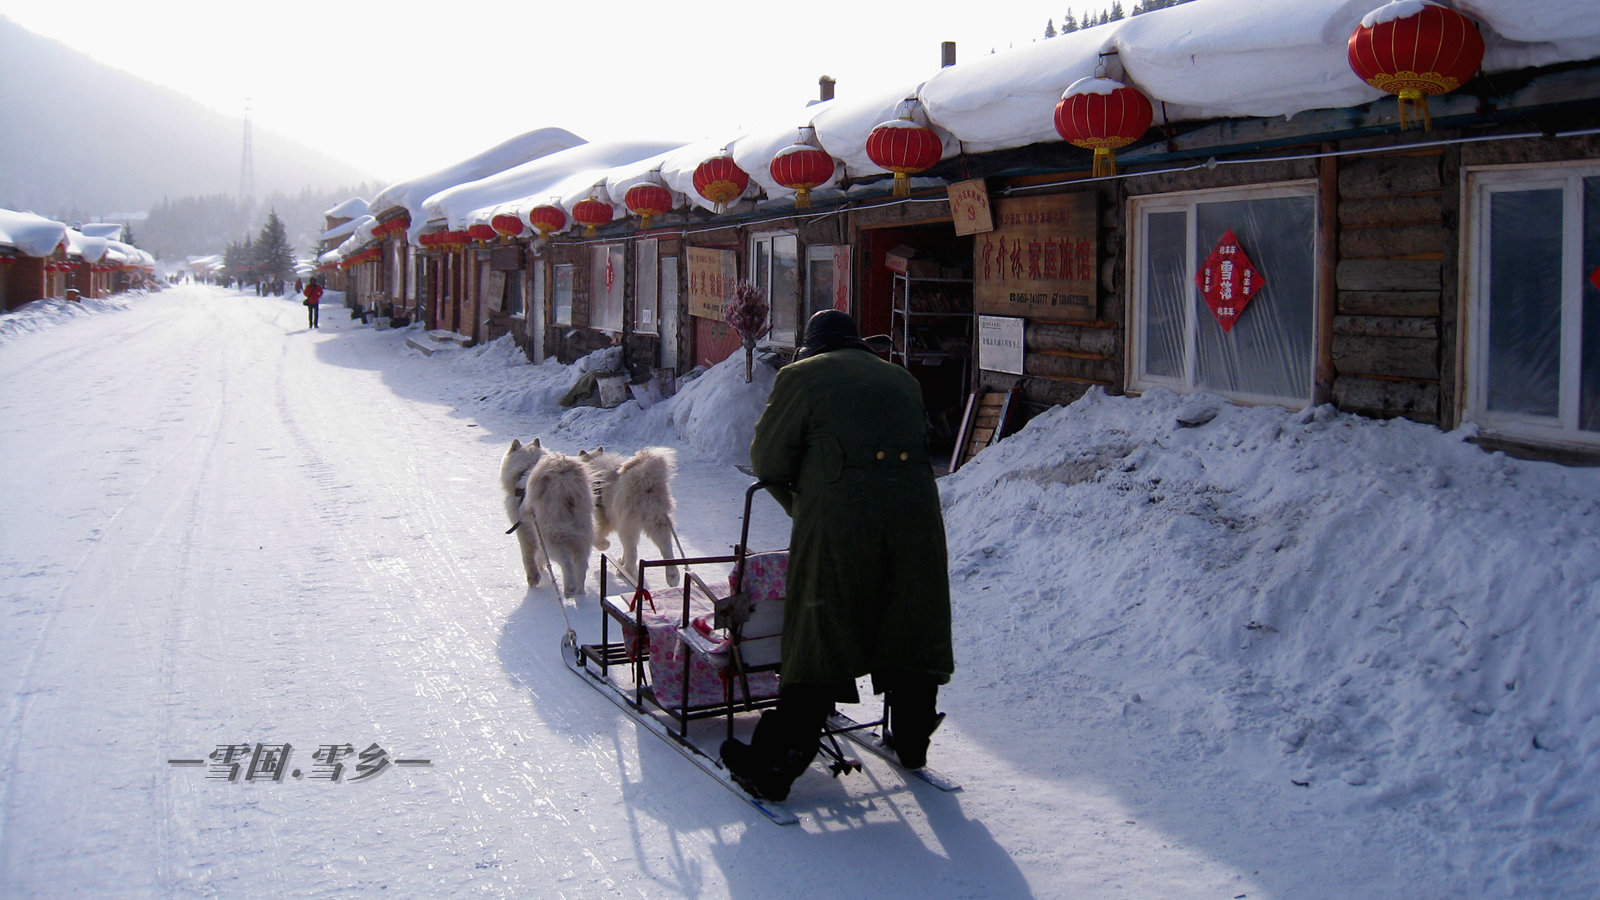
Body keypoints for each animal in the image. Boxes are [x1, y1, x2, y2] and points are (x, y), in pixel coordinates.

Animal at [499, 435, 595, 595]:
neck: (525, 470)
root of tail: (565, 483)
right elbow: (540, 554)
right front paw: (541, 565)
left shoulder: (523, 530)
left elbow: (527, 556)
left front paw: (533, 578)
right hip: (583, 535)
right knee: (581, 566)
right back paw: (579, 591)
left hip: (551, 536)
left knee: (566, 562)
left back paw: (569, 589)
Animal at [582, 445, 681, 586]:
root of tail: (645, 483)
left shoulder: (604, 519)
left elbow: (597, 539)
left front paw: (605, 545)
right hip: (658, 524)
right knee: (667, 551)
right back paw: (673, 577)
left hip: (628, 527)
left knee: (632, 553)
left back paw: (625, 572)